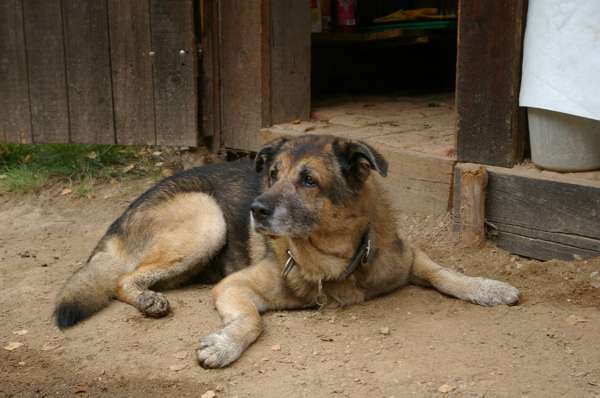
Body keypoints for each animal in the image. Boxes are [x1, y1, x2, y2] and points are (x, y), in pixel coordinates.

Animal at [54, 135, 516, 368]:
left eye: (308, 180)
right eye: (273, 175)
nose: (256, 210)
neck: (337, 262)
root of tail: (123, 215)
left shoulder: (406, 256)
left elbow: (445, 273)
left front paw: (488, 288)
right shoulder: (234, 287)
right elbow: (252, 321)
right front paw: (225, 345)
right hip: (207, 217)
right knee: (121, 279)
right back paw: (148, 298)